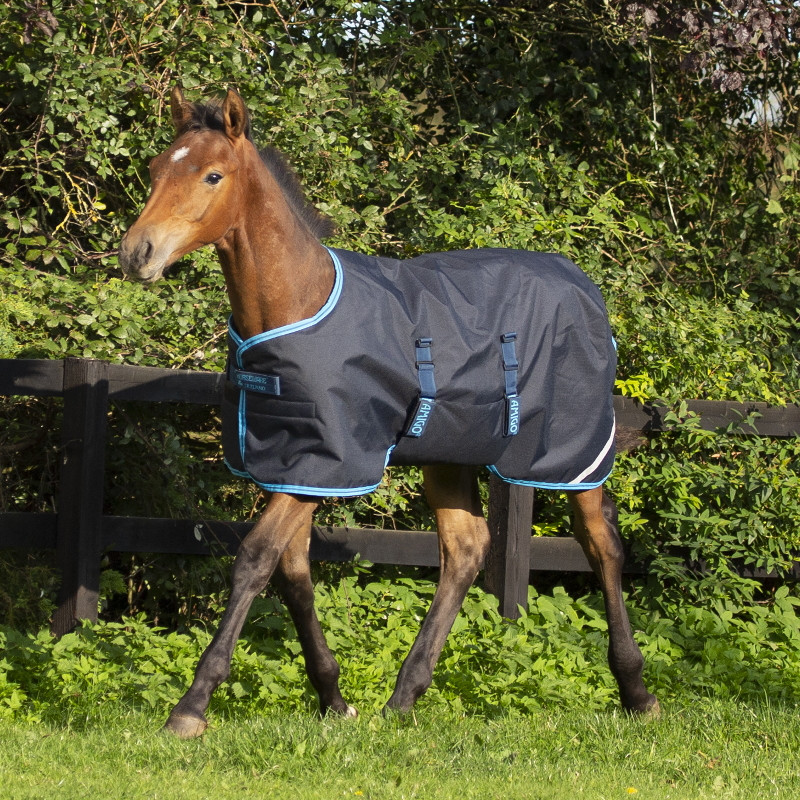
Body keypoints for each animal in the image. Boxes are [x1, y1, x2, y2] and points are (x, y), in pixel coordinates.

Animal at [118, 86, 659, 738]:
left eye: (212, 175)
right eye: (155, 170)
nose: (137, 253)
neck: (297, 303)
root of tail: (584, 285)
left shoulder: (328, 460)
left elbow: (254, 559)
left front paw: (191, 706)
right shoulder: (297, 465)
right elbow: (292, 570)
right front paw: (334, 698)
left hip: (571, 453)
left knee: (601, 545)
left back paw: (637, 691)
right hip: (451, 454)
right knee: (466, 549)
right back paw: (405, 695)